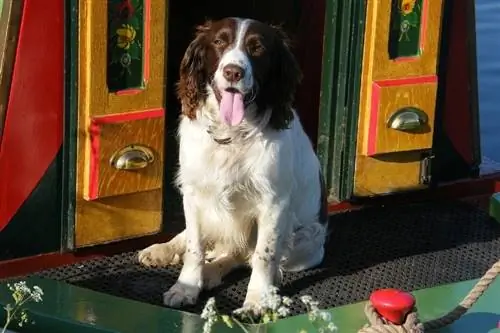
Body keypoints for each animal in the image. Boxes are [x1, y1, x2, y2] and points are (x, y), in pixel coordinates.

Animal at [139, 17, 330, 308]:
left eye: (257, 48)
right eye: (219, 42)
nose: (233, 72)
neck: (231, 134)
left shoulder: (274, 202)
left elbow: (263, 255)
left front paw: (258, 299)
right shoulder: (193, 193)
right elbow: (194, 246)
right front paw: (186, 287)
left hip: (307, 241)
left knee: (243, 255)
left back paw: (212, 272)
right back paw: (163, 250)